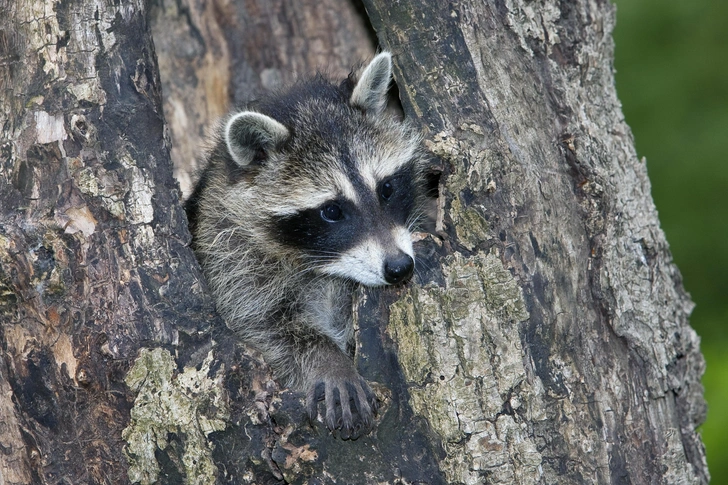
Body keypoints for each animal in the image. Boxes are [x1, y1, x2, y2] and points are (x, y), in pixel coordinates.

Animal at [185, 54, 430, 438]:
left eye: (387, 188)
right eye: (332, 211)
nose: (399, 267)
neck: (325, 267)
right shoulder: (227, 251)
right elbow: (257, 322)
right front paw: (328, 359)